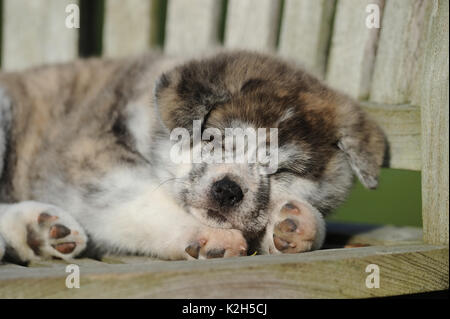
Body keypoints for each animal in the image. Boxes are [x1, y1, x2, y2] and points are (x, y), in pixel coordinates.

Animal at [0, 50, 386, 264]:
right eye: (215, 139)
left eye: (282, 171)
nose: (227, 190)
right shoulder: (84, 157)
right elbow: (138, 199)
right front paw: (205, 235)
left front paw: (295, 223)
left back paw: (37, 231)